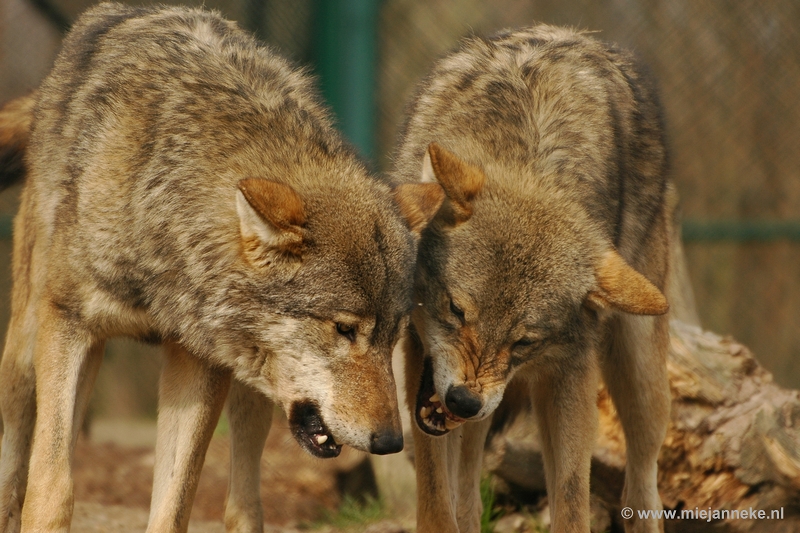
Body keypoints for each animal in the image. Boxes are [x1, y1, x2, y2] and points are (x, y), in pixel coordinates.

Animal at [0, 2, 444, 528]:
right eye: (343, 329)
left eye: (393, 337)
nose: (391, 441)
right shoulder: (69, 325)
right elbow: (52, 484)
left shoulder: (198, 360)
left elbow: (174, 504)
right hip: (27, 350)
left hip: (254, 388)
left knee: (243, 498)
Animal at [396, 25, 676, 532]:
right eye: (456, 310)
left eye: (524, 341)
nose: (464, 401)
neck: (526, 162)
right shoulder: (418, 361)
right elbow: (436, 500)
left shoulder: (570, 372)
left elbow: (571, 499)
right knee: (468, 493)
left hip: (642, 376)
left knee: (643, 482)